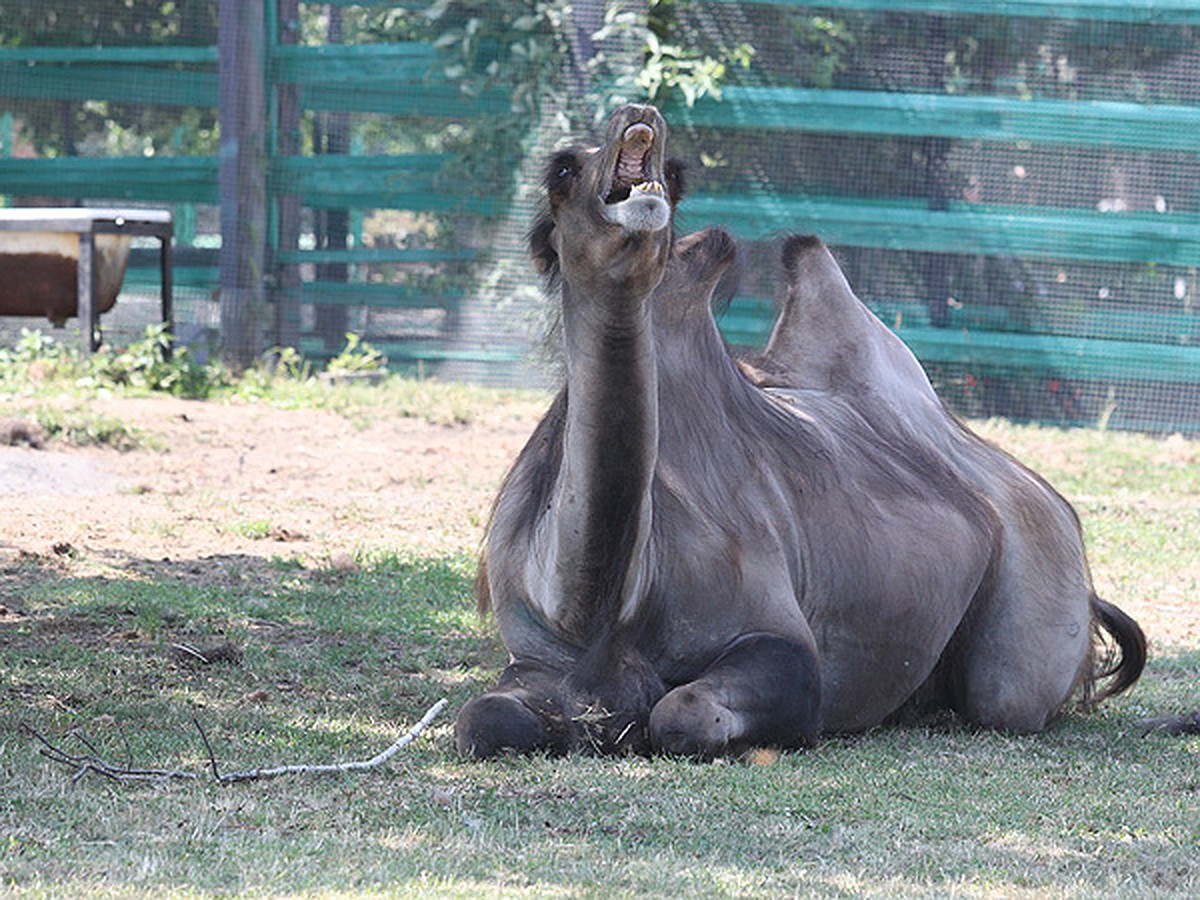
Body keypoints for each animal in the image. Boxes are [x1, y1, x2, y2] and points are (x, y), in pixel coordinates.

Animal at [451, 102, 1142, 758]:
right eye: (561, 170)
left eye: (676, 176)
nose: (639, 116)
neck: (602, 607)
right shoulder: (534, 656)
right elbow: (481, 720)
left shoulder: (777, 639)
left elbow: (687, 711)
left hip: (1035, 585)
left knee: (1006, 696)